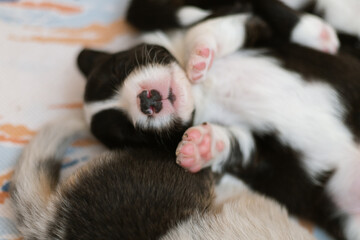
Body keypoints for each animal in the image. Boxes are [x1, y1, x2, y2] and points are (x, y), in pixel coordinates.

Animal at [78, 0, 360, 239]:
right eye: (130, 132)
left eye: (118, 68)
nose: (147, 102)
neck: (200, 95)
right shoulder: (260, 154)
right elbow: (235, 144)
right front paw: (200, 147)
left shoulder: (252, 24)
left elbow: (212, 25)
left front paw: (199, 56)